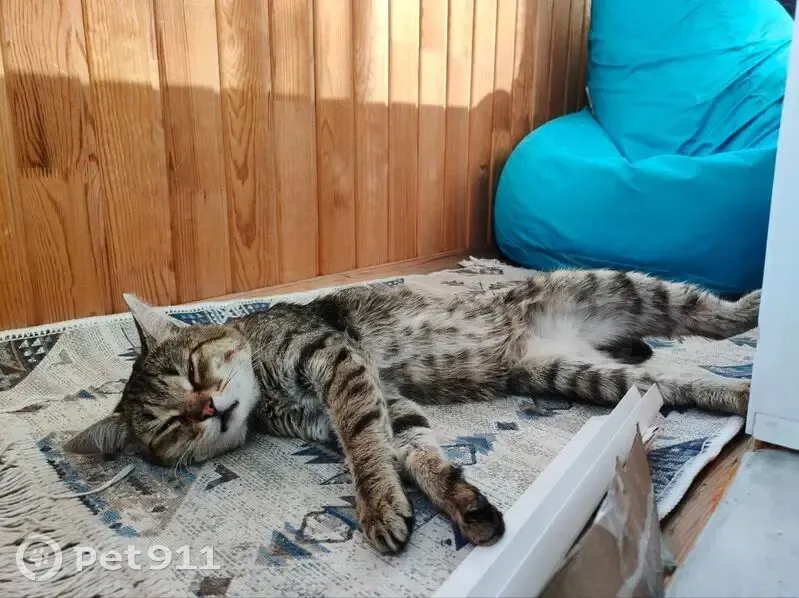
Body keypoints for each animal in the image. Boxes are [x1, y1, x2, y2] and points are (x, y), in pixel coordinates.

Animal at [65, 268, 760, 555]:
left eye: (192, 371)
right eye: (169, 425)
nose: (207, 408)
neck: (266, 393)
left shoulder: (336, 362)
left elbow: (364, 447)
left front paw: (375, 505)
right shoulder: (384, 402)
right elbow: (412, 451)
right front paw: (458, 502)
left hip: (619, 287)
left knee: (713, 314)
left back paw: (756, 310)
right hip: (587, 376)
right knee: (677, 382)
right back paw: (742, 395)